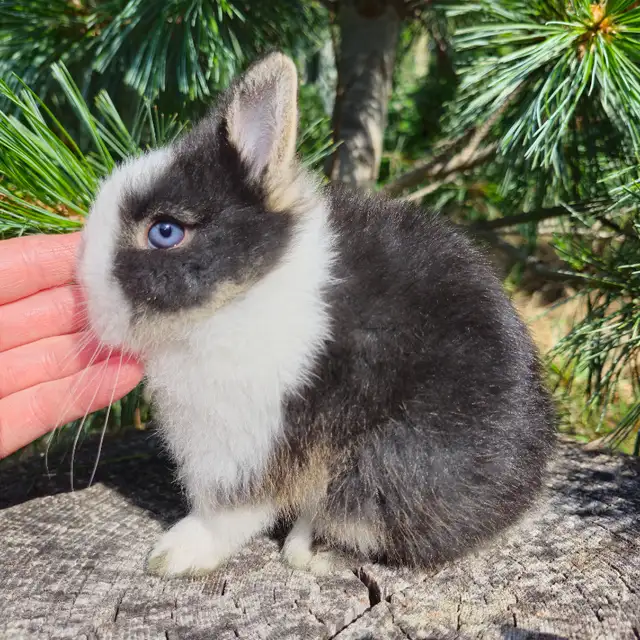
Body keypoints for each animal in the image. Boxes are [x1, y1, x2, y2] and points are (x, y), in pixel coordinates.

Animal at [78, 52, 556, 578]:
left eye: (165, 232)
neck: (243, 295)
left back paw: (307, 549)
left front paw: (173, 556)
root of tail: (522, 490)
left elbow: (228, 513)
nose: (85, 297)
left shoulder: (247, 441)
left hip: (389, 463)